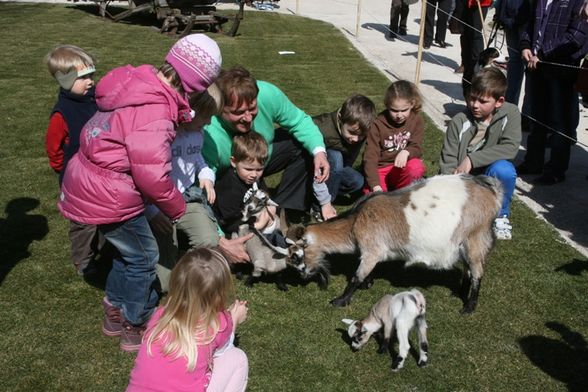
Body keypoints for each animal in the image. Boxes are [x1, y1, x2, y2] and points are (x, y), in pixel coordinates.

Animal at [290, 174, 500, 312]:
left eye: (297, 254)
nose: (302, 275)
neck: (355, 221)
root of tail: (493, 192)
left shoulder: (372, 249)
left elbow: (356, 276)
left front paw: (340, 300)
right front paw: (368, 283)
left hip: (475, 236)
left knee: (477, 271)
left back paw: (469, 306)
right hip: (463, 241)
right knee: (467, 267)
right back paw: (459, 292)